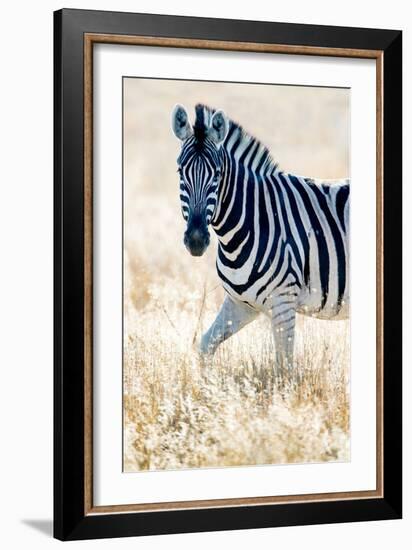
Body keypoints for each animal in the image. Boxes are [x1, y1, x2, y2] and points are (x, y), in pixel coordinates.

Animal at [171, 103, 348, 376]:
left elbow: (284, 368)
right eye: (180, 171)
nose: (197, 240)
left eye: (217, 174)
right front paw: (205, 384)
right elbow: (205, 345)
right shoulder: (241, 303)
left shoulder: (284, 301)